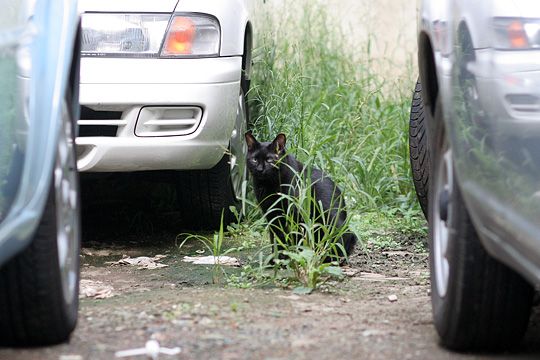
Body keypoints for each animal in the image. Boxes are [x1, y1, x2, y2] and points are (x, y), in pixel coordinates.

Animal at [246, 131, 356, 262]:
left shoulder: (294, 214)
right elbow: (276, 238)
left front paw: (293, 257)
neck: (269, 186)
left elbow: (294, 237)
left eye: (269, 160)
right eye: (254, 160)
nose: (259, 169)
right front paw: (277, 259)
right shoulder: (271, 214)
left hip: (331, 222)